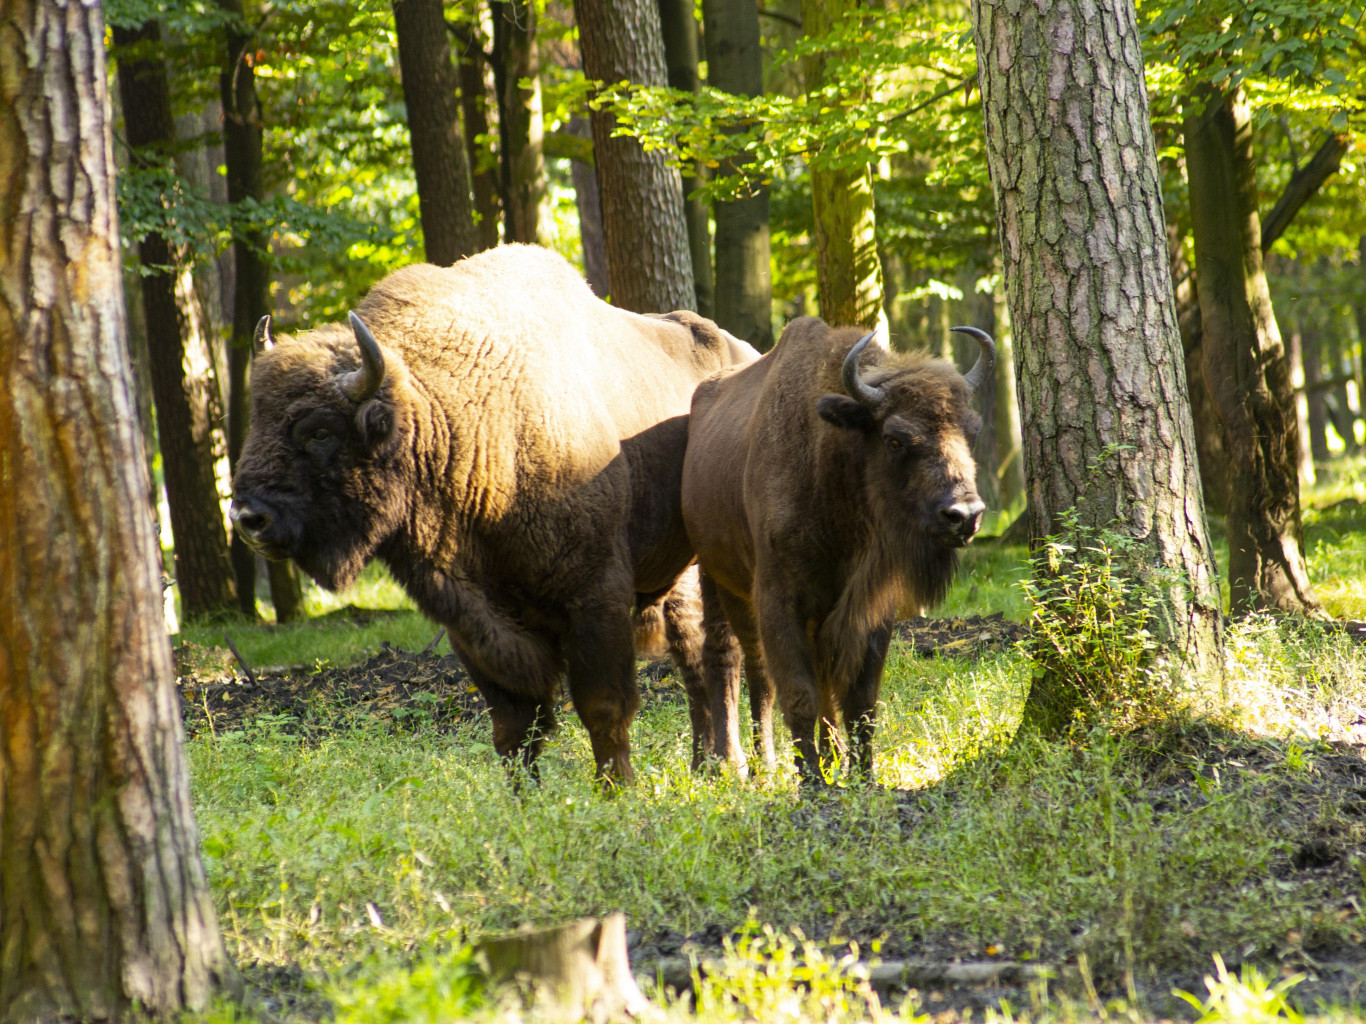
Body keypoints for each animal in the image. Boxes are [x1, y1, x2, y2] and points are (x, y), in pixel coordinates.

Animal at [230, 245, 757, 784]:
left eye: (318, 431)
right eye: (257, 419)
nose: (248, 517)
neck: (446, 417)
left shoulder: (595, 595)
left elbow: (604, 706)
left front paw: (617, 789)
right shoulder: (474, 622)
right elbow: (513, 724)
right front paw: (524, 797)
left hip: (710, 567)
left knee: (716, 654)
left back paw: (727, 766)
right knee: (691, 653)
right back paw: (704, 765)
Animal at [682, 317, 994, 782]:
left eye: (972, 430)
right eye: (895, 439)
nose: (964, 515)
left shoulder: (869, 606)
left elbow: (859, 699)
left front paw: (862, 777)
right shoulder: (778, 599)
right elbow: (799, 694)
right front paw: (812, 783)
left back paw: (822, 759)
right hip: (719, 578)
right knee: (742, 665)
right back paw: (748, 765)